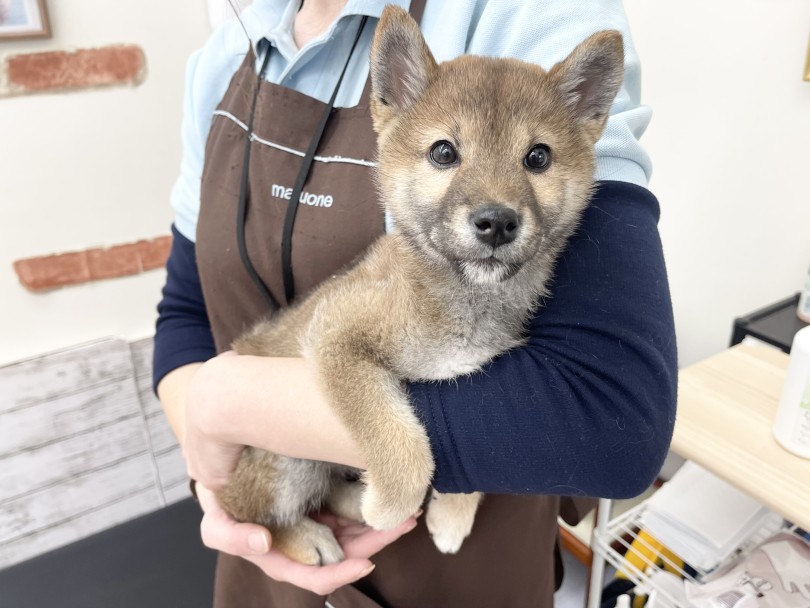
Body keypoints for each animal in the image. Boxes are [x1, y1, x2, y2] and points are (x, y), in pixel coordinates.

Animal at [216, 4, 624, 564]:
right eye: (444, 153)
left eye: (538, 157)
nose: (496, 222)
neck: (461, 300)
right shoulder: (337, 332)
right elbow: (401, 440)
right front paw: (392, 502)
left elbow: (479, 461)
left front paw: (452, 513)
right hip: (286, 463)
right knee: (246, 514)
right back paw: (308, 537)